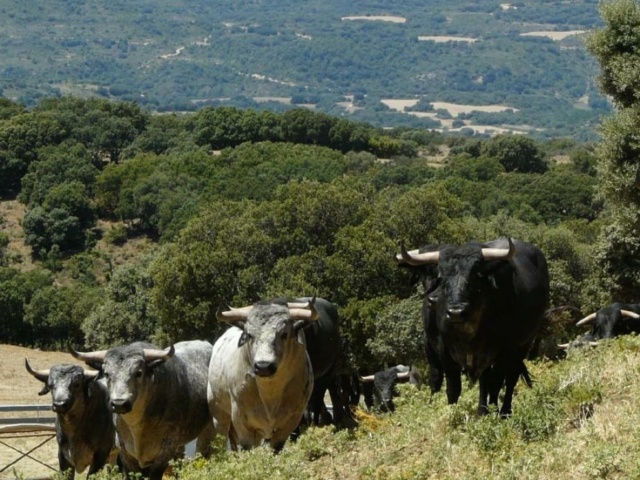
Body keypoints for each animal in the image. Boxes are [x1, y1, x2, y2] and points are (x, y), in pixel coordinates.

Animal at [71, 342, 214, 480]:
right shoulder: (125, 452)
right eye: (106, 374)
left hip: (207, 433)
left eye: (138, 373)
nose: (119, 403)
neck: (138, 428)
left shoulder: (165, 451)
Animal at [396, 238, 552, 414]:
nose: (456, 312)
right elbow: (452, 388)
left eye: (475, 276)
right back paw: (482, 410)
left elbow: (496, 383)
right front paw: (452, 414)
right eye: (442, 278)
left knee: (510, 377)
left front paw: (494, 414)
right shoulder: (443, 351)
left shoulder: (505, 350)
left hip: (524, 344)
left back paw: (504, 411)